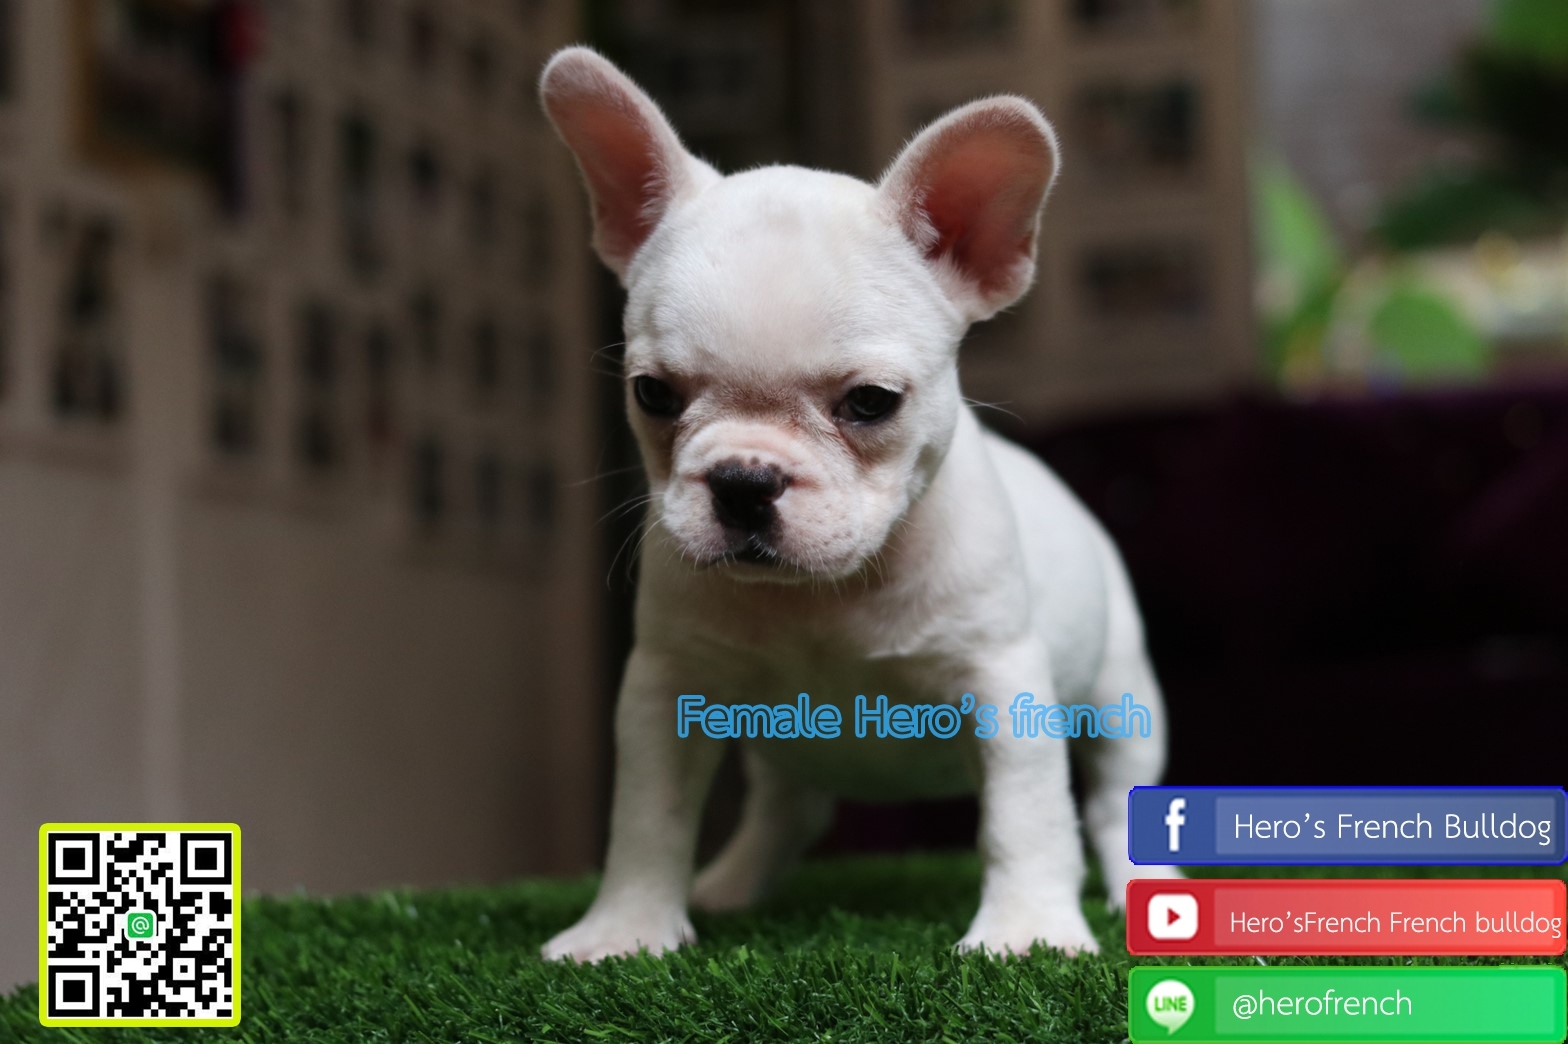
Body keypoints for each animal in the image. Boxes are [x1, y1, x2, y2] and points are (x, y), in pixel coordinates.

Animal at [538, 47, 1176, 962]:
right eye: (653, 393)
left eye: (870, 403)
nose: (744, 479)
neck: (821, 597)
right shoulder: (667, 689)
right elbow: (648, 819)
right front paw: (625, 930)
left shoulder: (1003, 686)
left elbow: (1027, 820)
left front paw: (1025, 934)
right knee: (788, 807)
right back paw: (733, 884)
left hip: (1125, 697)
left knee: (1117, 801)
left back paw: (1143, 891)